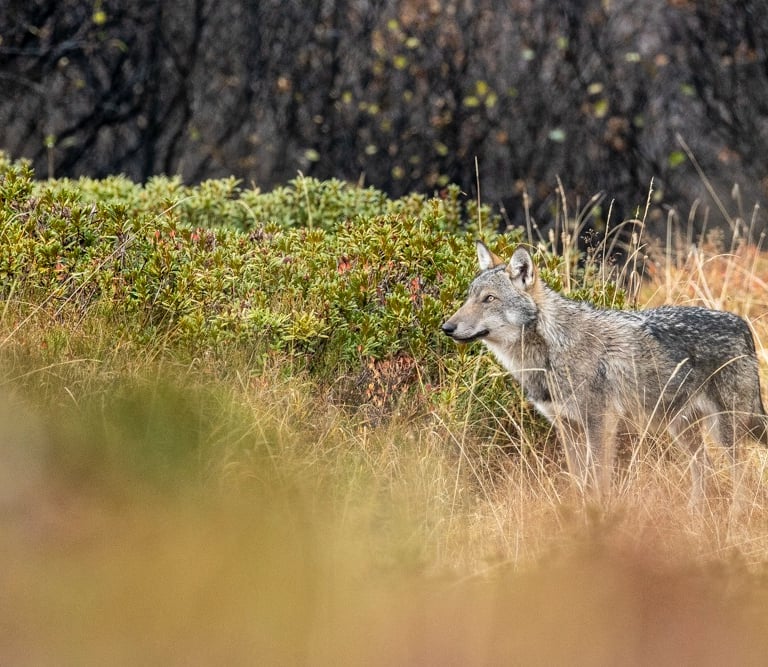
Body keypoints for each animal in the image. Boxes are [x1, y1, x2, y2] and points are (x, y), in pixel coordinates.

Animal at [442, 241, 768, 506]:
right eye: (469, 297)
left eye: (489, 299)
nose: (447, 327)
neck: (551, 351)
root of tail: (743, 324)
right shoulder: (567, 429)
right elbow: (578, 483)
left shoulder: (600, 424)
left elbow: (598, 483)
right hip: (681, 429)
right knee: (705, 467)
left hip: (725, 431)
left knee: (741, 479)